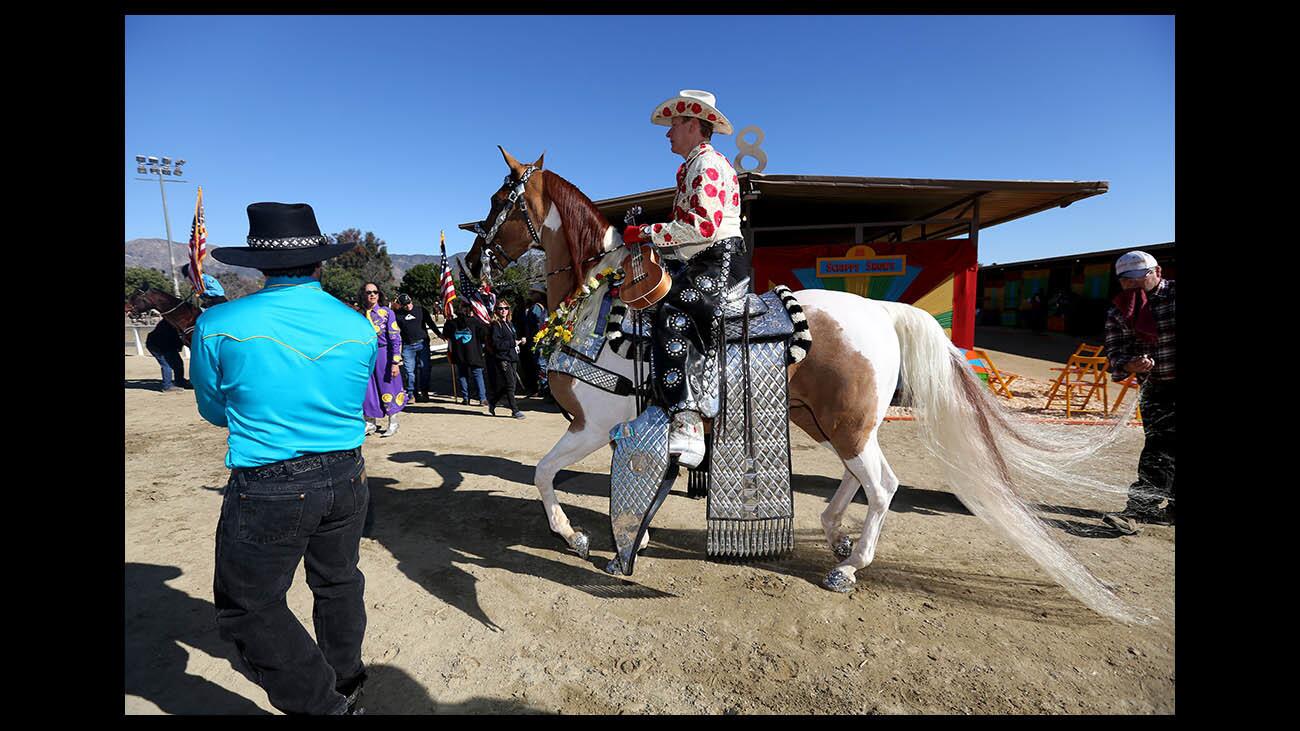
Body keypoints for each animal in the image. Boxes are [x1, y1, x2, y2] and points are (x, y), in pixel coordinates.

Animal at [473, 146, 1144, 619]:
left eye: (500, 200)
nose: (472, 260)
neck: (597, 309)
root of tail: (885, 311)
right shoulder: (603, 428)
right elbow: (574, 478)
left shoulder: (593, 424)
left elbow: (542, 473)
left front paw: (576, 538)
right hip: (828, 420)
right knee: (858, 479)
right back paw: (836, 535)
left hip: (845, 425)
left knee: (884, 483)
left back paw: (851, 565)